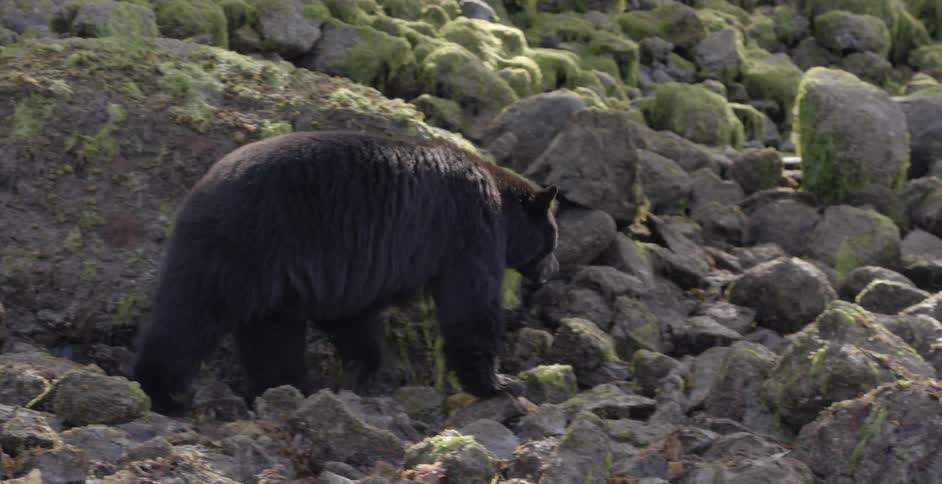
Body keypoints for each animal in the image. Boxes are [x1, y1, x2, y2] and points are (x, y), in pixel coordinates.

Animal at [132, 130, 560, 415]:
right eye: (553, 237)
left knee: (269, 335)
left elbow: (350, 316)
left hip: (266, 271)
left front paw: (362, 371)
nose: (551, 273)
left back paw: (285, 390)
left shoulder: (342, 271)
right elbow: (470, 306)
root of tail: (200, 189)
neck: (499, 197)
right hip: (244, 243)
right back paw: (164, 393)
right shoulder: (469, 228)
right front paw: (499, 383)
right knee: (193, 316)